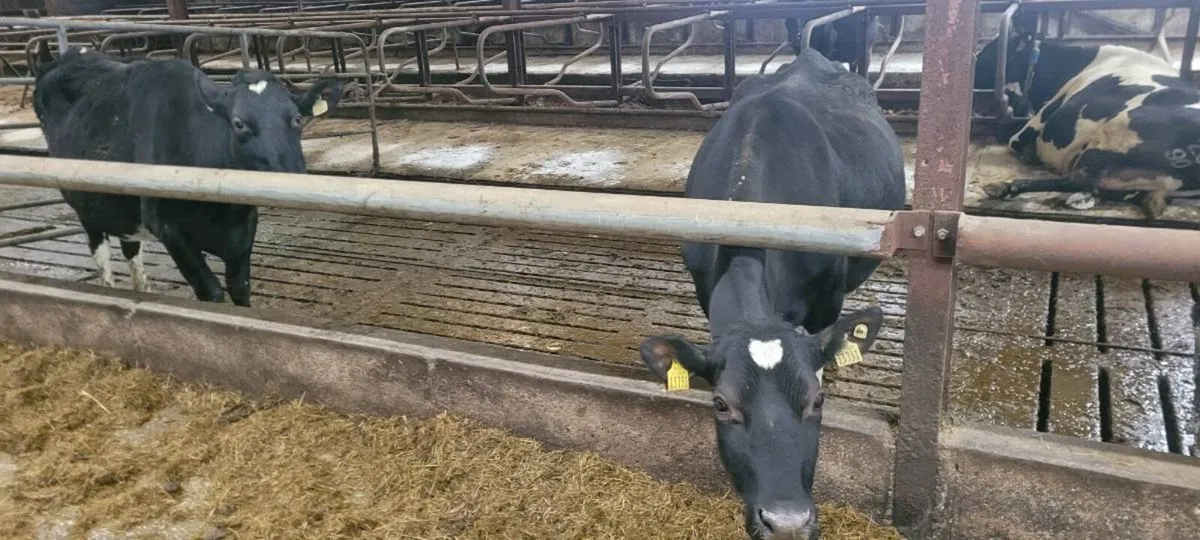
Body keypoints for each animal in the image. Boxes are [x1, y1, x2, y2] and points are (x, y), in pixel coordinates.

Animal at [32, 44, 339, 306]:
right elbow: (211, 292)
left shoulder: (245, 227)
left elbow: (240, 287)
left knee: (131, 249)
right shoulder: (169, 230)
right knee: (101, 254)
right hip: (83, 201)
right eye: (238, 123)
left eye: (297, 118)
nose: (292, 176)